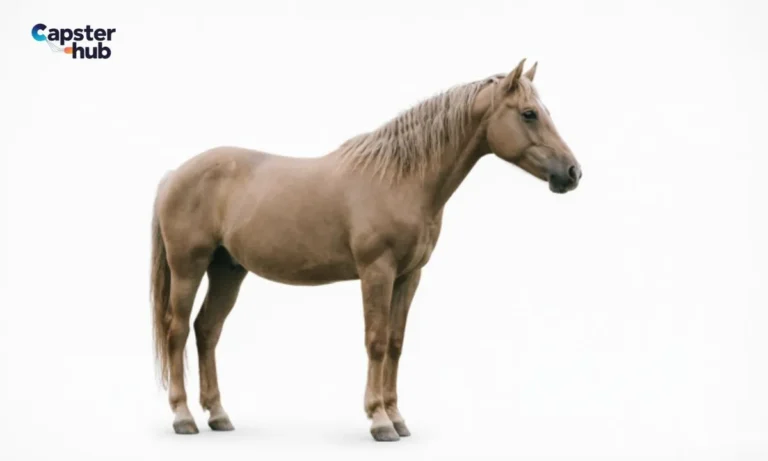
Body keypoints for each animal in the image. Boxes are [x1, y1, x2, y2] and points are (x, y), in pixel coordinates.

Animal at [150, 58, 582, 441]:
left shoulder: (409, 275)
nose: (572, 173)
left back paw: (218, 415)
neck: (401, 179)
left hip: (228, 270)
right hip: (188, 267)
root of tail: (174, 175)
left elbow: (395, 342)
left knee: (207, 330)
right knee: (178, 330)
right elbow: (375, 341)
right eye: (529, 114)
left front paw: (397, 418)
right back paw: (183, 417)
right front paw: (379, 421)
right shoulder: (377, 271)